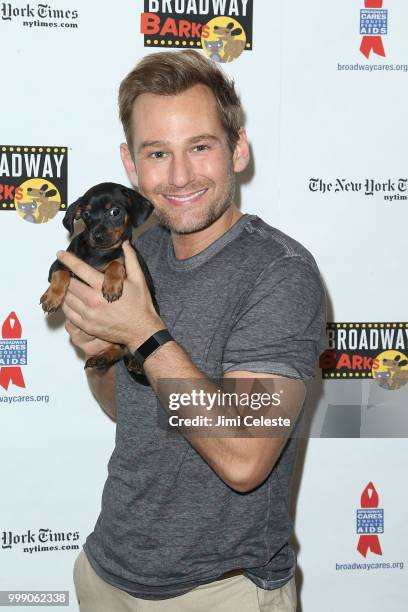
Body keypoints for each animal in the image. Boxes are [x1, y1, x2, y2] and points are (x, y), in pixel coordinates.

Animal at [39, 180, 157, 378]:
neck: (99, 253)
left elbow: (116, 263)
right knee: (117, 349)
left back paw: (134, 361)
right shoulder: (58, 263)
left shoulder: (124, 260)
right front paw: (52, 297)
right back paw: (102, 357)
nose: (97, 236)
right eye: (86, 214)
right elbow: (61, 272)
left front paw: (111, 286)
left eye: (115, 212)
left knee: (126, 350)